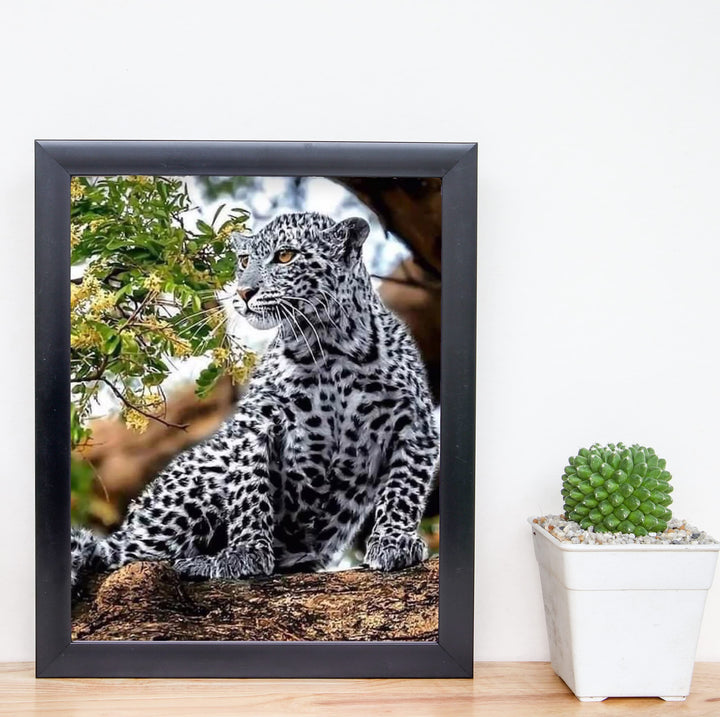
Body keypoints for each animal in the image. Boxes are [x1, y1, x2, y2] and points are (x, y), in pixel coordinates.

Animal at [71, 211, 439, 587]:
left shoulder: (415, 424)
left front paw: (394, 541)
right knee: (119, 557)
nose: (244, 292)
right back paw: (198, 562)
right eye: (245, 261)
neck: (329, 346)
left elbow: (405, 487)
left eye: (285, 256)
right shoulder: (256, 422)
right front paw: (245, 552)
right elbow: (249, 488)